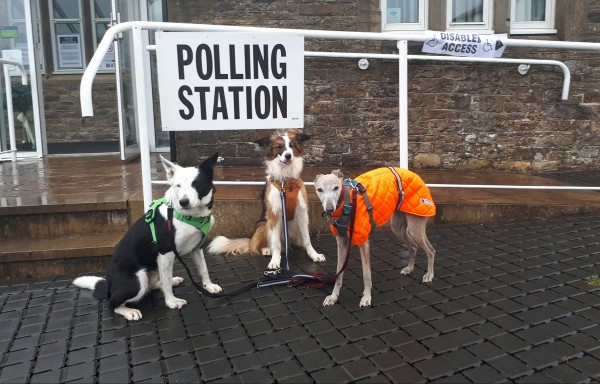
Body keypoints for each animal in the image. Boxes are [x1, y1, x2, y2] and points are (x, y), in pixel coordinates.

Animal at [73, 154, 223, 320]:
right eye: (177, 186)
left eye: (196, 183)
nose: (184, 202)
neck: (189, 216)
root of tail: (110, 288)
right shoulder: (165, 252)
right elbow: (167, 282)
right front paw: (171, 302)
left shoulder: (196, 247)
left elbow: (203, 269)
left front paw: (209, 286)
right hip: (138, 278)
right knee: (113, 304)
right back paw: (128, 311)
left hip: (153, 269)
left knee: (154, 285)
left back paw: (170, 281)